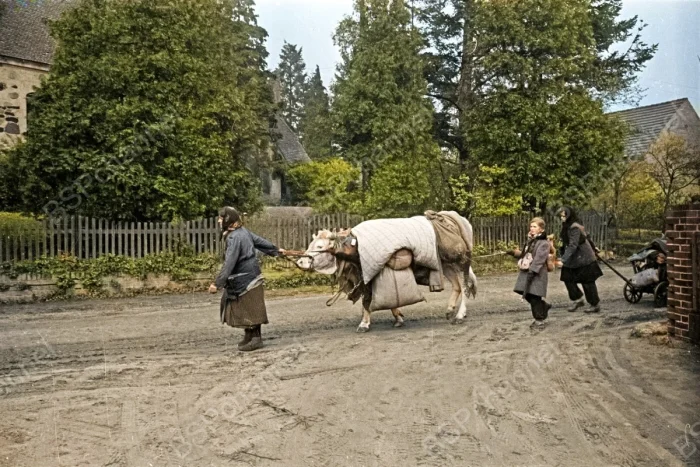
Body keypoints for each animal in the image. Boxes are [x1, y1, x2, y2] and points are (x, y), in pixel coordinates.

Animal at [296, 213, 477, 333]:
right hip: (446, 265)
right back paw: (450, 310)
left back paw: (460, 315)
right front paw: (398, 317)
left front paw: (364, 324)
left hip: (460, 262)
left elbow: (367, 301)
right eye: (311, 244)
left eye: (320, 246)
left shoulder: (369, 275)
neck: (355, 246)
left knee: (465, 287)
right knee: (457, 286)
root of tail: (453, 218)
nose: (301, 261)